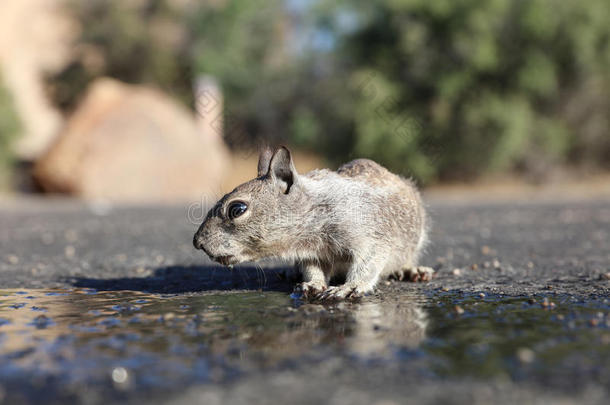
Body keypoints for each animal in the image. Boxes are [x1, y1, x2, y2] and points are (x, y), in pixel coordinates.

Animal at [192, 147, 430, 298]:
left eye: (237, 209)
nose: (197, 242)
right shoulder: (310, 254)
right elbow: (312, 269)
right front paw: (313, 283)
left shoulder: (369, 235)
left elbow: (368, 263)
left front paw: (350, 287)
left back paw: (411, 270)